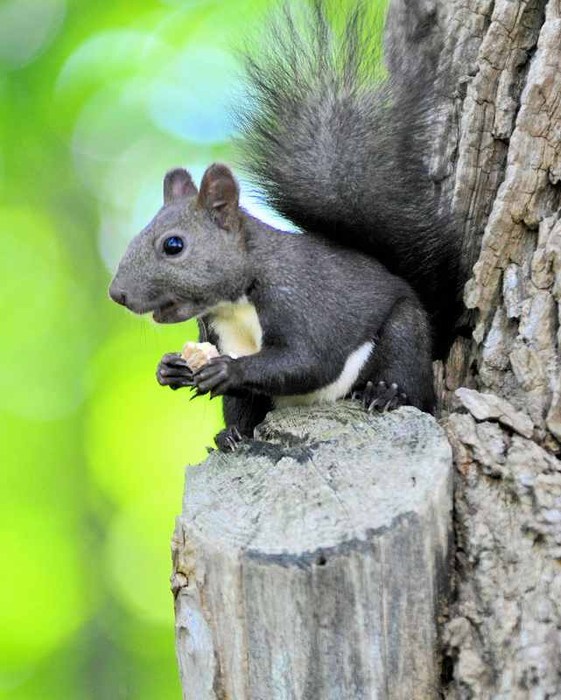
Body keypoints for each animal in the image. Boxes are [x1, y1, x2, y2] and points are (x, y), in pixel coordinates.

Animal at [108, 2, 460, 452]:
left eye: (173, 245)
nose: (117, 294)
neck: (236, 300)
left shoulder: (301, 299)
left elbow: (308, 359)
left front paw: (229, 370)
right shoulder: (215, 329)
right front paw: (170, 367)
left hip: (405, 331)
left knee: (410, 379)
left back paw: (386, 393)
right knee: (243, 408)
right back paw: (232, 435)